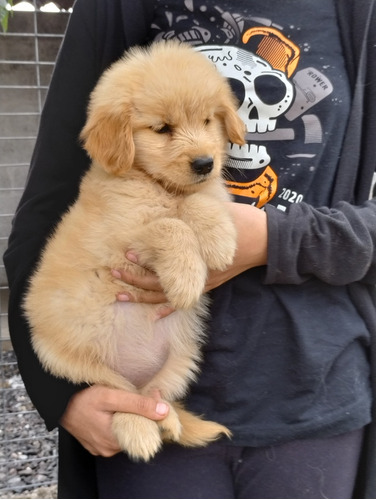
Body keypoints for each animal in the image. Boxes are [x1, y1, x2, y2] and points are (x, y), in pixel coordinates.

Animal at [24, 41, 247, 462]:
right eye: (162, 129)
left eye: (208, 120)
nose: (205, 162)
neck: (155, 183)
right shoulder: (120, 234)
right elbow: (169, 226)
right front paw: (186, 278)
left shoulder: (205, 190)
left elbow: (201, 201)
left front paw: (219, 239)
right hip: (68, 360)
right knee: (120, 394)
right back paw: (138, 430)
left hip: (183, 360)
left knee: (153, 397)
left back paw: (168, 421)